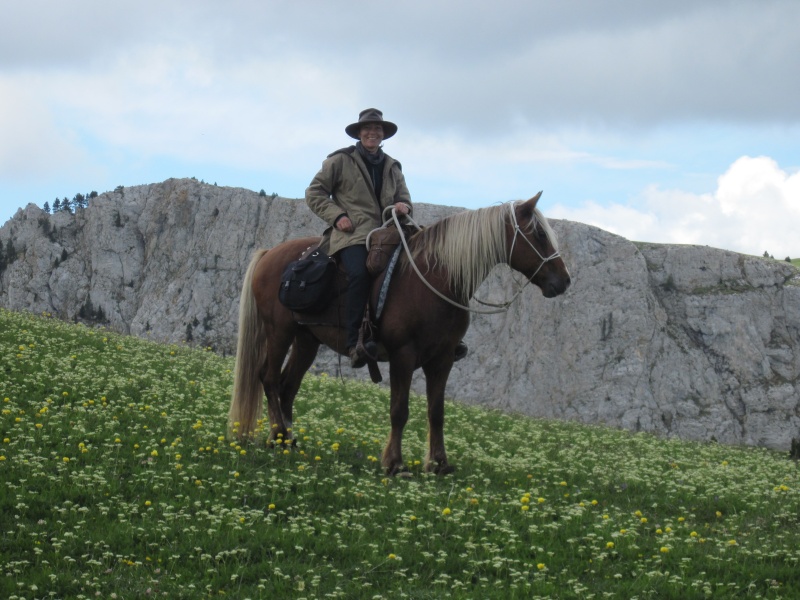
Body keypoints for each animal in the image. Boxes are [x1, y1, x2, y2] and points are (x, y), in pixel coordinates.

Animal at [228, 195, 572, 476]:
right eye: (540, 234)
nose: (564, 281)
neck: (437, 278)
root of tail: (270, 253)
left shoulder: (442, 359)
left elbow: (437, 412)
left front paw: (439, 463)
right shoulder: (403, 356)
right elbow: (399, 410)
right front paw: (395, 463)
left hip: (306, 340)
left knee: (288, 386)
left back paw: (285, 439)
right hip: (279, 332)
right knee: (269, 378)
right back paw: (279, 436)